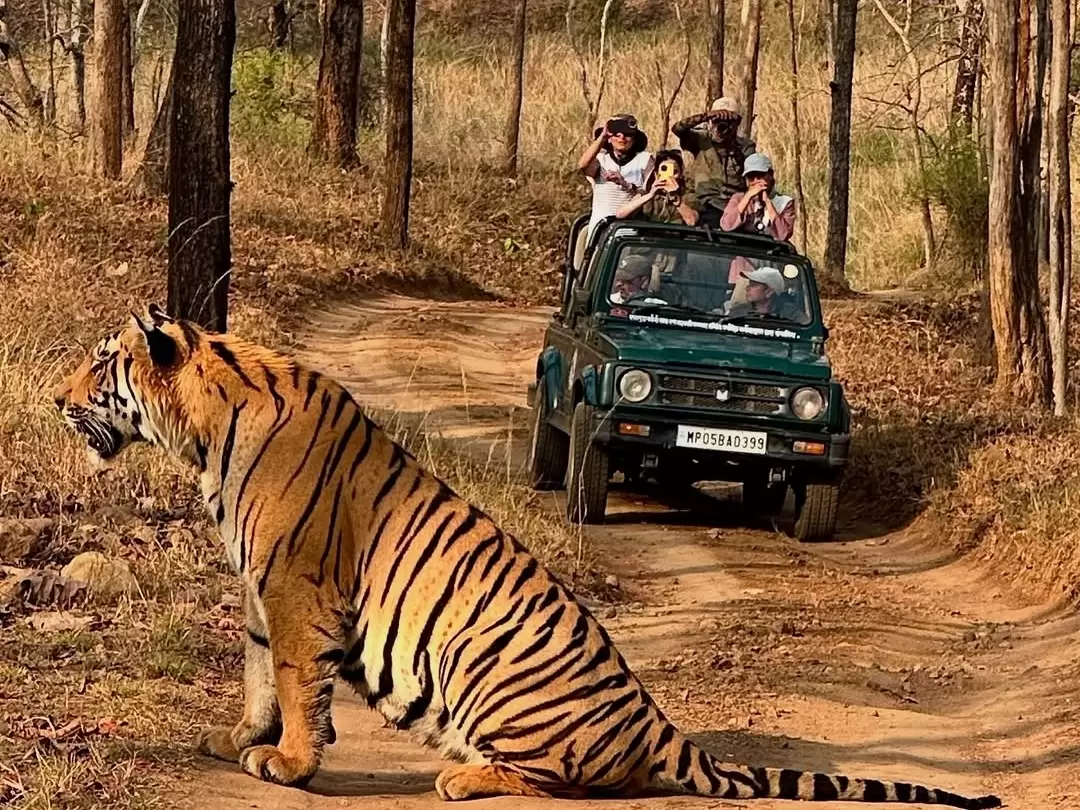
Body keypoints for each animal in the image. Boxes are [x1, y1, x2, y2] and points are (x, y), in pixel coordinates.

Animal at [52, 304, 1001, 809]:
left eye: (100, 366)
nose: (54, 399)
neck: (201, 437)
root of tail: (662, 726)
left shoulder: (295, 588)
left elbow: (292, 681)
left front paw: (289, 762)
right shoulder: (260, 591)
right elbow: (257, 674)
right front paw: (240, 740)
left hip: (486, 667)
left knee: (553, 783)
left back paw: (462, 778)